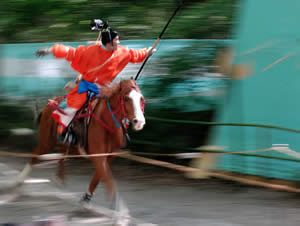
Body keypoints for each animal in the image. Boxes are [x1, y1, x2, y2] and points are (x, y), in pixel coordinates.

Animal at [15, 77, 146, 212]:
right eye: (126, 98)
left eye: (141, 98)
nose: (139, 122)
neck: (107, 122)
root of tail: (52, 102)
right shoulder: (98, 156)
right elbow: (108, 180)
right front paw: (120, 209)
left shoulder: (109, 156)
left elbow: (98, 177)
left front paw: (86, 199)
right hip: (47, 140)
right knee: (36, 155)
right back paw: (19, 180)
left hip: (64, 143)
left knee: (62, 154)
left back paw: (59, 178)